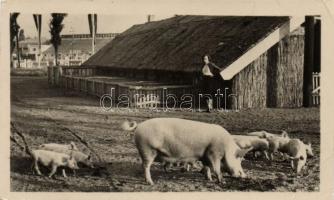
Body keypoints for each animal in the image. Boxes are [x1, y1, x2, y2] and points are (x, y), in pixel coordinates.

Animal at [122, 118, 250, 185]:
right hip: (148, 149)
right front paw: (222, 182)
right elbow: (216, 168)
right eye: (238, 159)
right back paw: (151, 182)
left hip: (145, 150)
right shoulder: (214, 153)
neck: (226, 147)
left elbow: (208, 167)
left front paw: (209, 179)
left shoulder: (205, 155)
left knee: (143, 165)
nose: (244, 176)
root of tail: (139, 126)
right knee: (146, 166)